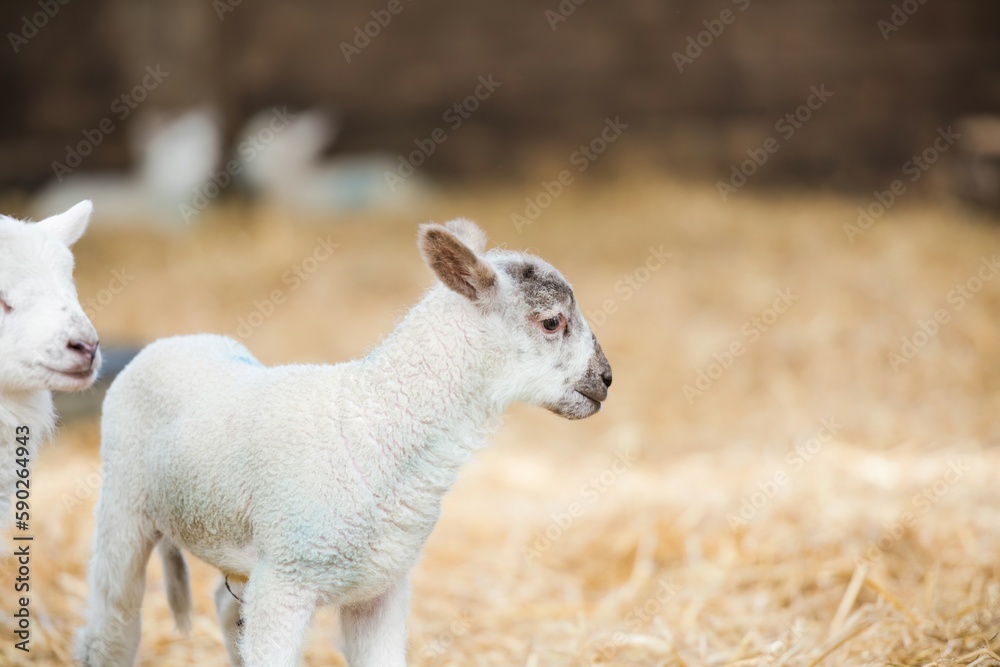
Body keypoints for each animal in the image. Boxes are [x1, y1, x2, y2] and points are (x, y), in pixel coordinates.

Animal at [76, 219, 612, 667]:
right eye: (552, 321)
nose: (606, 379)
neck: (374, 420)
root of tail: (176, 340)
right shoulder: (286, 581)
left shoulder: (382, 586)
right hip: (123, 503)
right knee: (111, 628)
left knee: (226, 611)